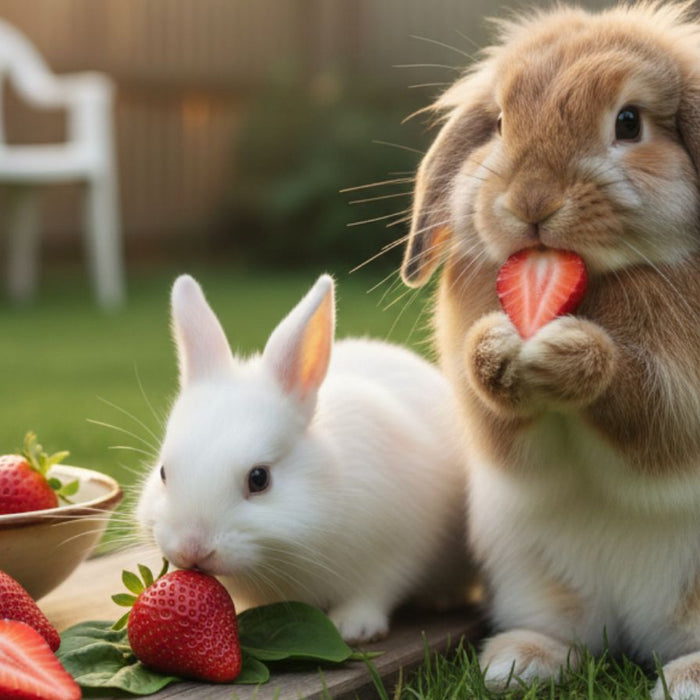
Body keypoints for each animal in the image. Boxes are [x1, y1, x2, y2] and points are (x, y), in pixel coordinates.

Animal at [136, 273, 472, 644]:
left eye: (259, 479)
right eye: (163, 473)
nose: (192, 549)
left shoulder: (396, 552)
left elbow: (374, 591)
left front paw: (353, 628)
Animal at [399, 2, 700, 697]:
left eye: (628, 122)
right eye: (500, 123)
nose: (530, 202)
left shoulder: (679, 402)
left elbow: (649, 409)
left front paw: (570, 354)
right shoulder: (494, 434)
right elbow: (502, 423)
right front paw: (495, 348)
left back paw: (687, 677)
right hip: (533, 578)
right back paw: (518, 662)